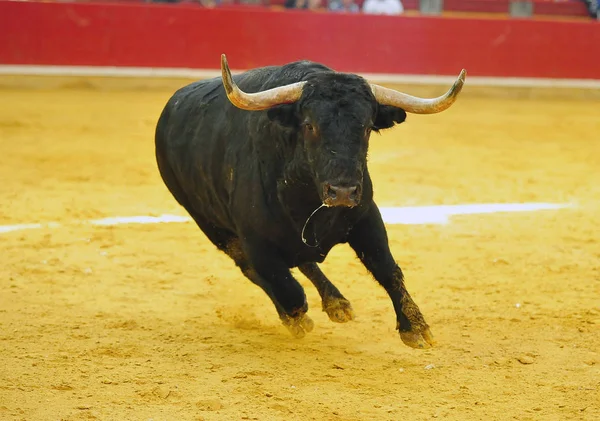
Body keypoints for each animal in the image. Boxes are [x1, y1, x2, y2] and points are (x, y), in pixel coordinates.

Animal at [154, 54, 464, 348]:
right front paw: (296, 318)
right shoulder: (254, 240)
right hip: (212, 226)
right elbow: (284, 285)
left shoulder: (366, 217)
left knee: (302, 262)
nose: (342, 192)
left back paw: (337, 303)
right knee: (255, 270)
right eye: (309, 126)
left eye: (366, 128)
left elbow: (386, 268)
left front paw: (416, 328)